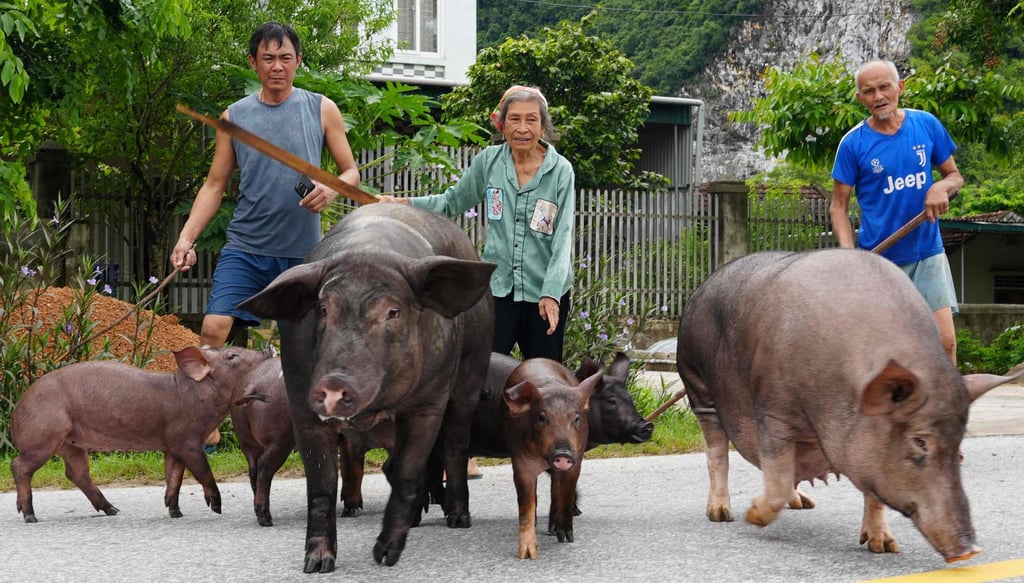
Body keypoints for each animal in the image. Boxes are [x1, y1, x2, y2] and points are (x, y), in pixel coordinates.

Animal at [10, 345, 275, 523]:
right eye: (232, 355)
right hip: (44, 437)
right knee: (20, 466)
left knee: (76, 473)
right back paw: (30, 516)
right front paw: (217, 507)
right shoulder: (186, 440)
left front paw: (176, 513)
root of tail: (18, 409)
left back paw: (113, 511)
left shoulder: (172, 445)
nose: (267, 348)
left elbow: (174, 476)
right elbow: (202, 470)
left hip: (72, 443)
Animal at [237, 202, 495, 573]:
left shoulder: (429, 401)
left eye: (393, 312)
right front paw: (317, 564)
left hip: (472, 371)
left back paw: (458, 519)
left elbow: (406, 471)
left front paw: (385, 556)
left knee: (456, 444)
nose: (334, 385)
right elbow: (321, 482)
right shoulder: (301, 402)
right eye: (323, 310)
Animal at [502, 358, 601, 559]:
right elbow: (526, 504)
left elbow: (567, 494)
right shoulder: (521, 462)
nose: (563, 453)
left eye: (576, 418)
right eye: (541, 418)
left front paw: (566, 538)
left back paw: (553, 530)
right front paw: (527, 555)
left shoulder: (576, 460)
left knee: (556, 489)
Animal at [675, 249, 1023, 562]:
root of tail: (703, 286)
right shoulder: (773, 412)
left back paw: (803, 504)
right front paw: (752, 516)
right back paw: (721, 513)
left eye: (959, 442)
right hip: (698, 385)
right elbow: (775, 480)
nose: (971, 550)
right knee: (717, 451)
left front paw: (884, 546)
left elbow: (870, 489)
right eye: (920, 441)